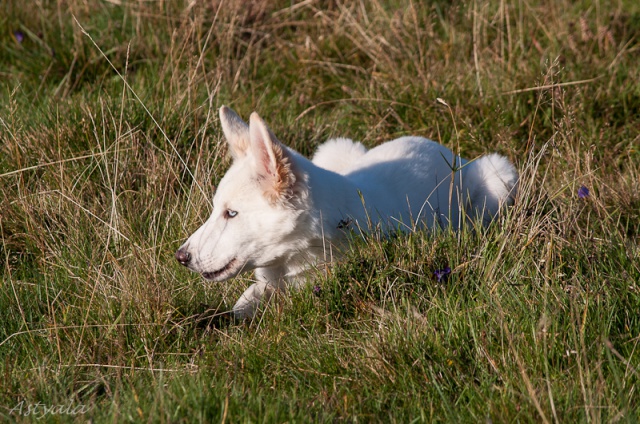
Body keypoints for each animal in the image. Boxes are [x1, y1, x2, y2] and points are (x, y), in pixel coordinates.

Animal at [178, 106, 516, 318]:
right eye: (217, 210)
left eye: (231, 214)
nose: (181, 256)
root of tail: (443, 149)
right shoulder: (266, 284)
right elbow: (241, 305)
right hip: (335, 148)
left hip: (499, 179)